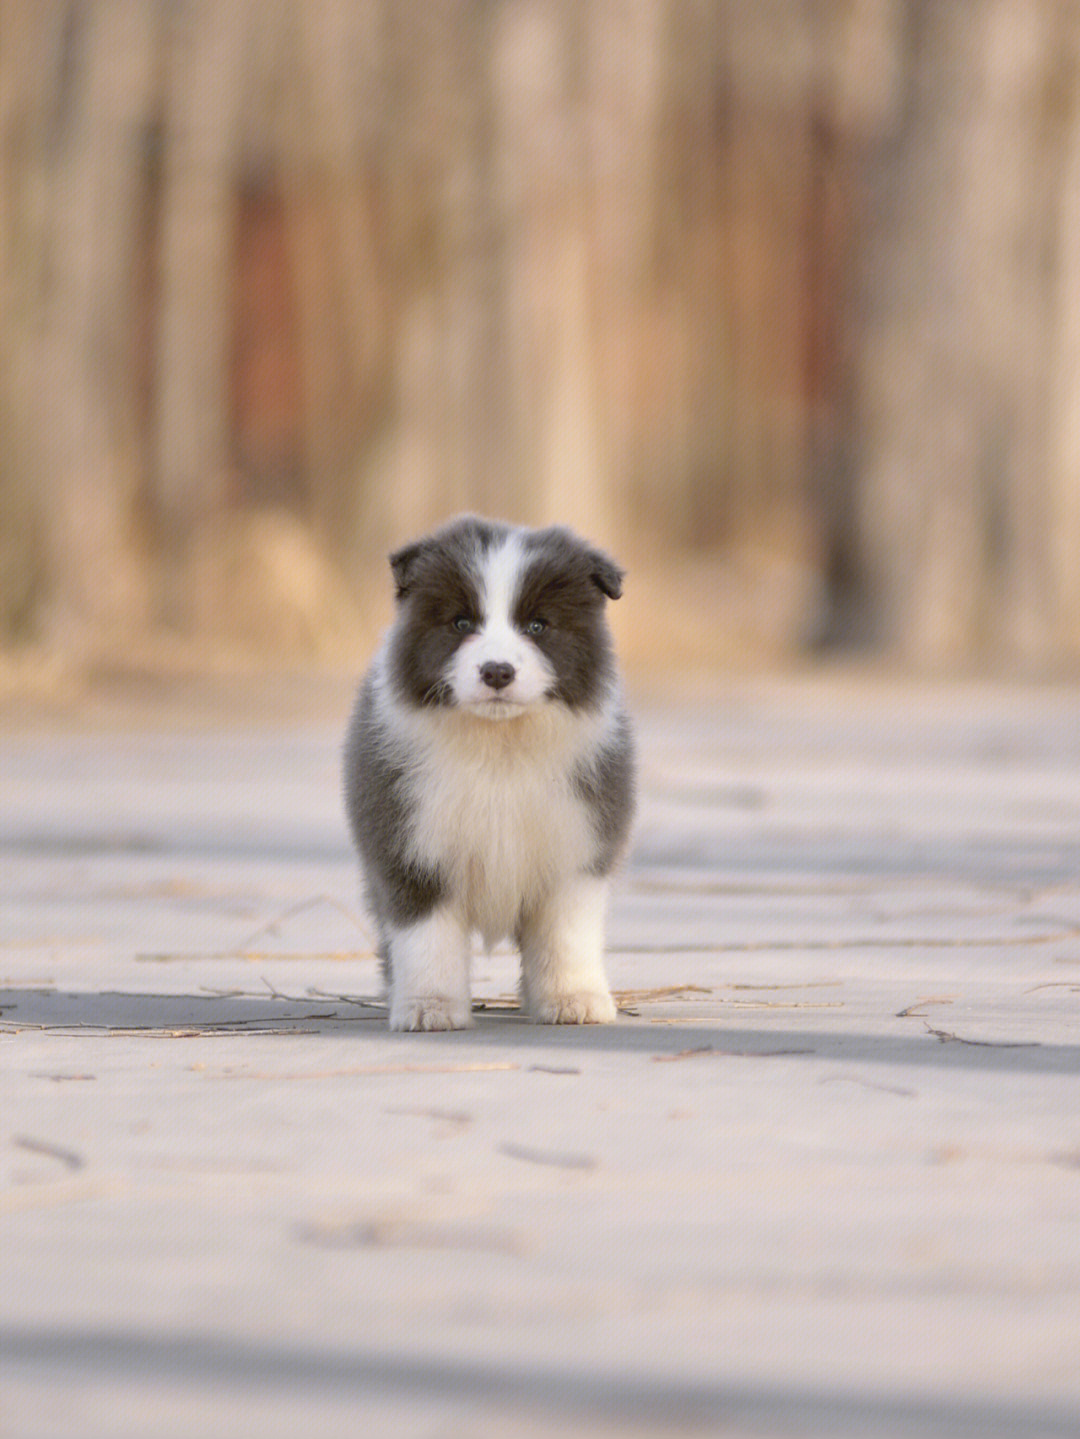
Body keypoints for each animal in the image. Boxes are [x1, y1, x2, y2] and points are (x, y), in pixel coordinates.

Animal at [343, 512, 632, 1030]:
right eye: (461, 622)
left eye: (537, 626)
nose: (497, 671)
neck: (499, 748)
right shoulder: (409, 849)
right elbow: (427, 939)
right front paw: (430, 1008)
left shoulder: (577, 845)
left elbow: (566, 934)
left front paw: (574, 1001)